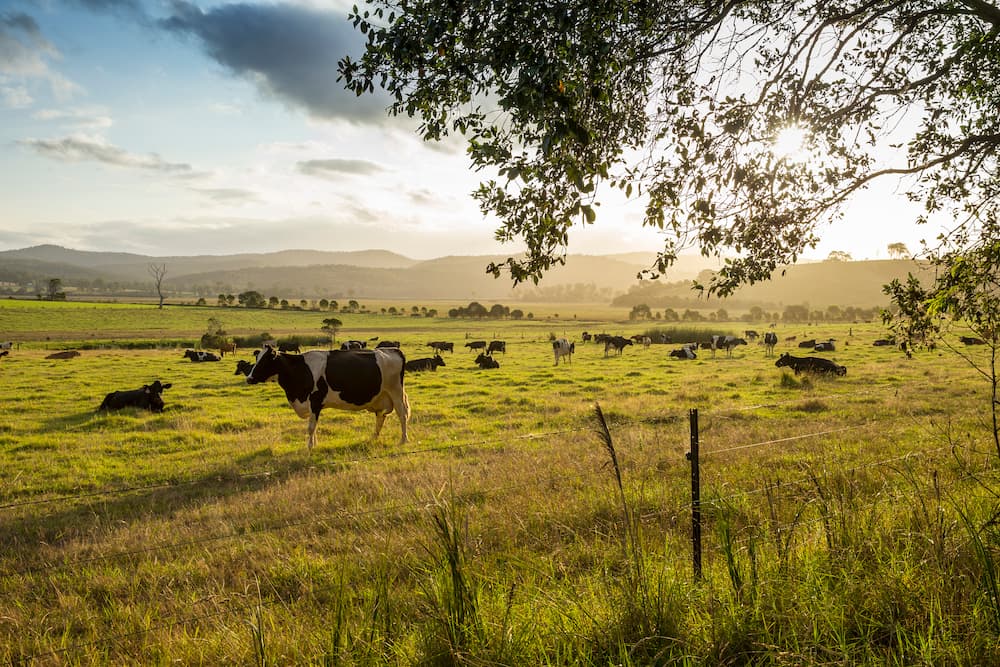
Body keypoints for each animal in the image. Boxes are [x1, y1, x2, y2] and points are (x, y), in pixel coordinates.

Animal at [246, 344, 410, 448]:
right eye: (256, 358)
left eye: (265, 361)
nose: (249, 378)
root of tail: (393, 350)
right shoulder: (313, 406)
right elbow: (315, 426)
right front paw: (315, 444)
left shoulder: (315, 401)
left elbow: (311, 427)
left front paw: (310, 446)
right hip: (380, 397)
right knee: (381, 417)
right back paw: (374, 437)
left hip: (396, 392)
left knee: (402, 415)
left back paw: (403, 440)